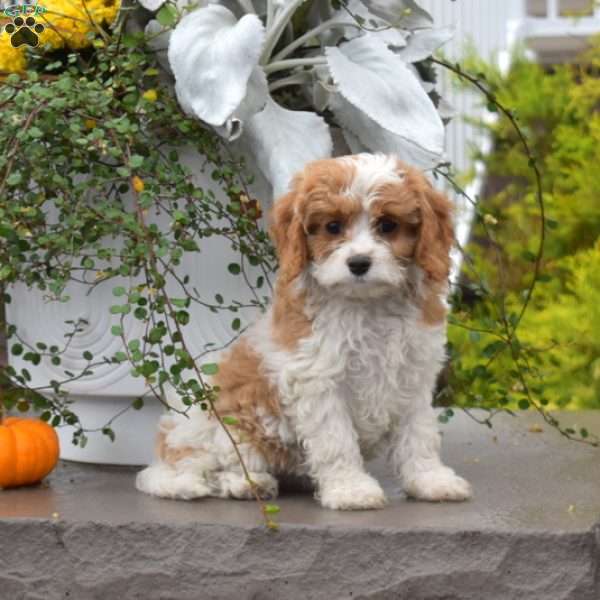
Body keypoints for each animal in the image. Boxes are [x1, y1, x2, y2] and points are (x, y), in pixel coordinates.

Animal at [137, 152, 474, 508]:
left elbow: (419, 436)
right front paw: (351, 489)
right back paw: (248, 483)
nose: (358, 263)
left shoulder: (413, 376)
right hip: (224, 431)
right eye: (332, 227)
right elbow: (336, 441)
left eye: (387, 225)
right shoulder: (319, 382)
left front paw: (431, 480)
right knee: (218, 468)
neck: (367, 305)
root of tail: (165, 453)